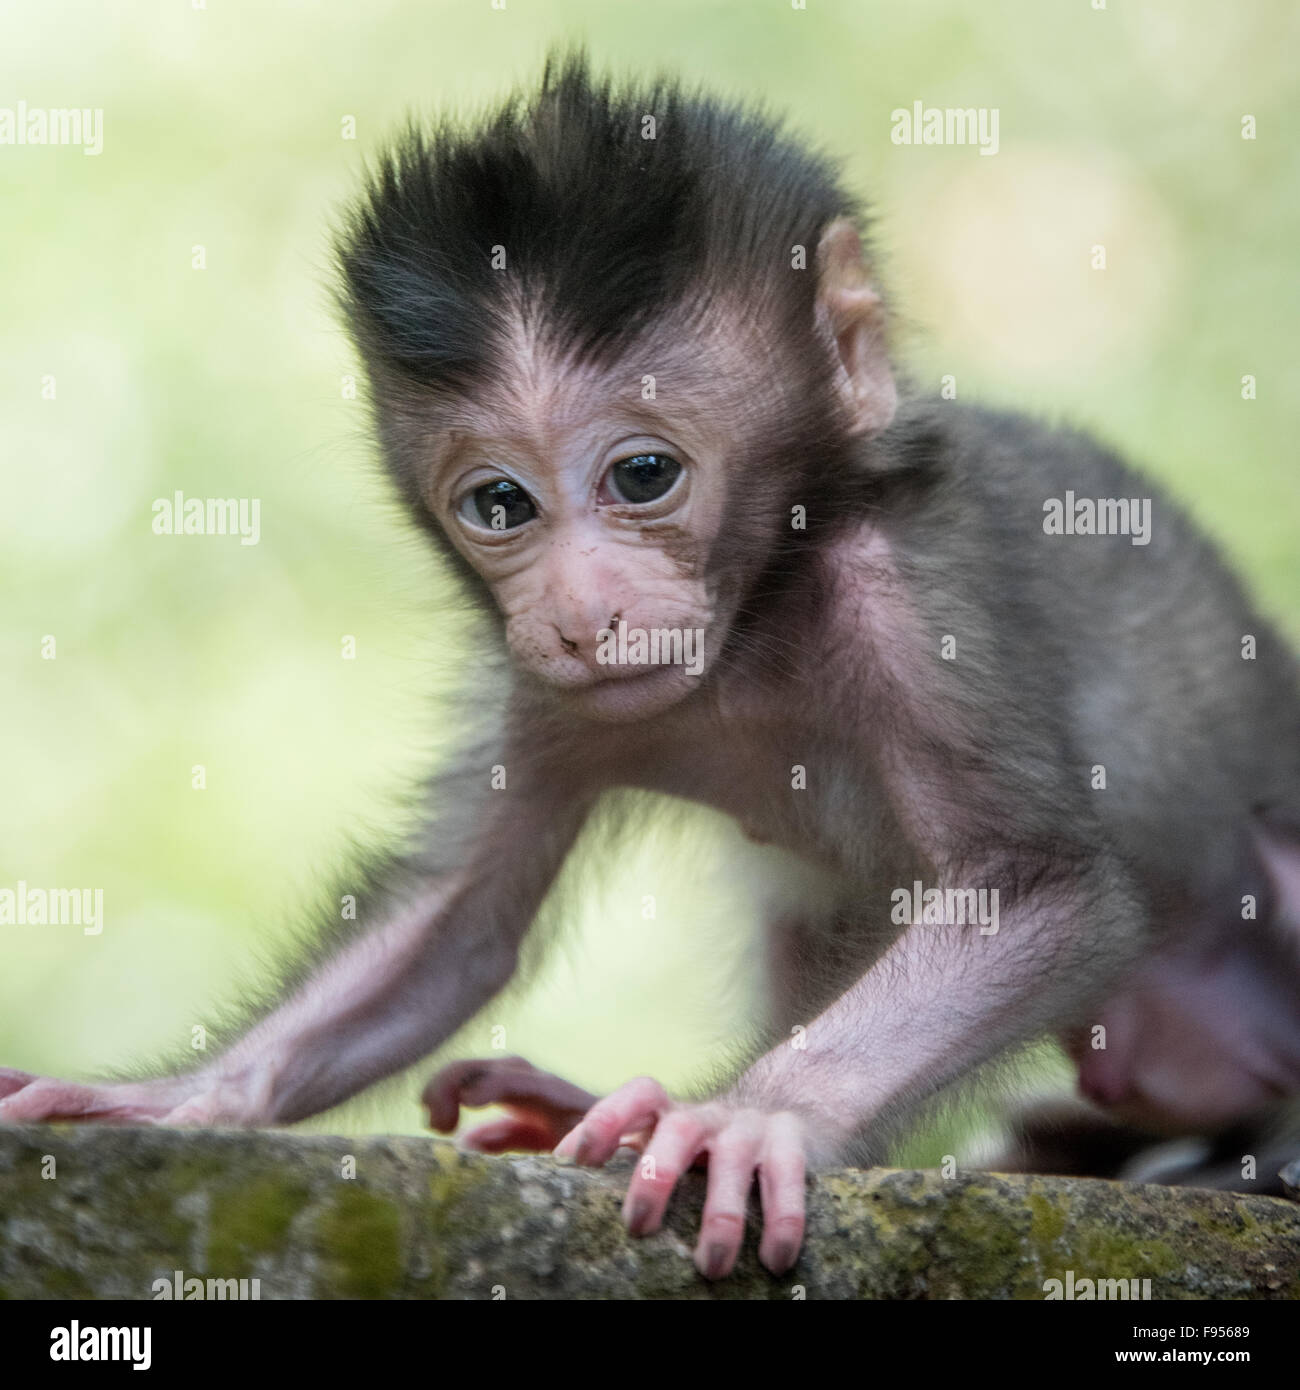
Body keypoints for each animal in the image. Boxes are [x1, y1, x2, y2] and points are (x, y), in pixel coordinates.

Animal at [2, 62, 1300, 1278]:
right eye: (500, 504)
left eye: (642, 475)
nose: (583, 614)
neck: (753, 625)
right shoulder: (543, 693)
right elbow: (457, 922)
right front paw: (184, 1097)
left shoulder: (904, 599)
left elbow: (1035, 889)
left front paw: (748, 1117)